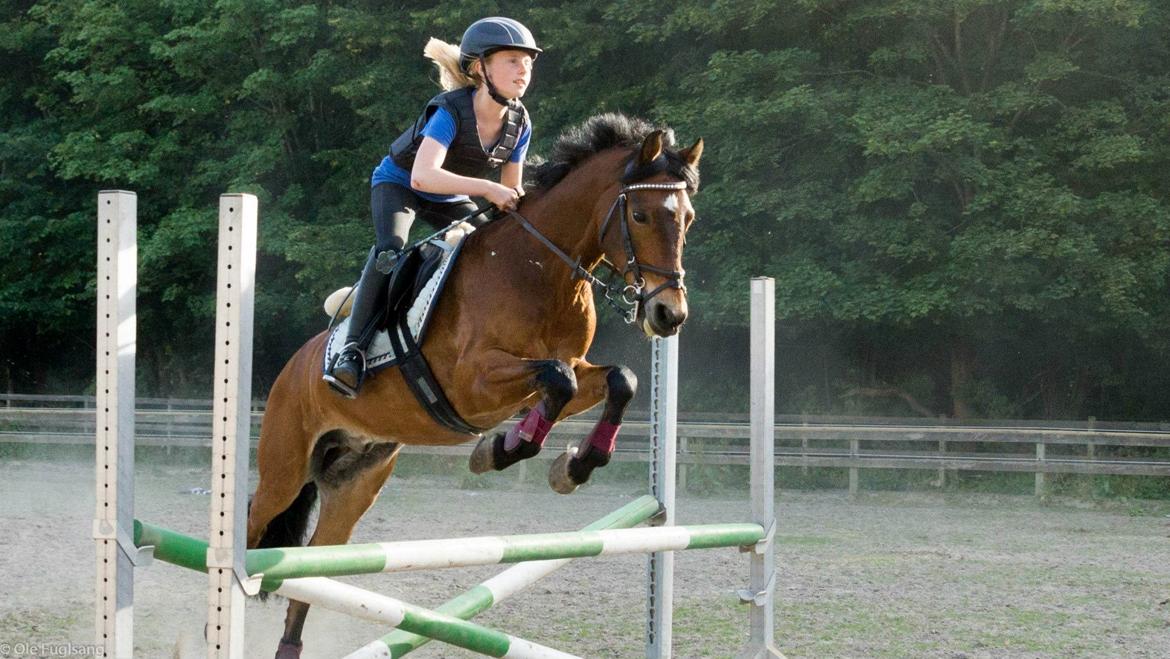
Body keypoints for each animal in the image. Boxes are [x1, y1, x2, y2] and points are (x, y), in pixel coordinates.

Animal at [246, 115, 697, 655]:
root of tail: (295, 366)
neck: (540, 270)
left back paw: (289, 645)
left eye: (688, 219)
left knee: (312, 564)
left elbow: (614, 380)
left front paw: (567, 465)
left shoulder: (553, 374)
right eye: (643, 215)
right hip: (284, 470)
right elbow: (558, 380)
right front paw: (503, 451)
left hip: (356, 482)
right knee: (252, 525)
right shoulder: (473, 381)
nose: (669, 314)